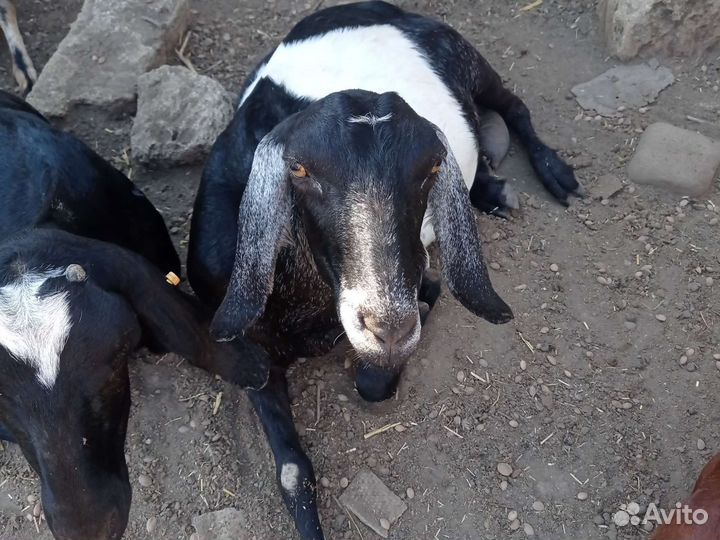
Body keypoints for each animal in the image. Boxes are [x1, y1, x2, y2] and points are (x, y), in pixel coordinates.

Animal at [188, 2, 581, 538]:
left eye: (431, 168)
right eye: (300, 170)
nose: (389, 324)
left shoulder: (420, 277)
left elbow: (373, 385)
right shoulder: (252, 357)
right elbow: (291, 472)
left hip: (470, 60)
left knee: (514, 104)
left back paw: (553, 174)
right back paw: (492, 190)